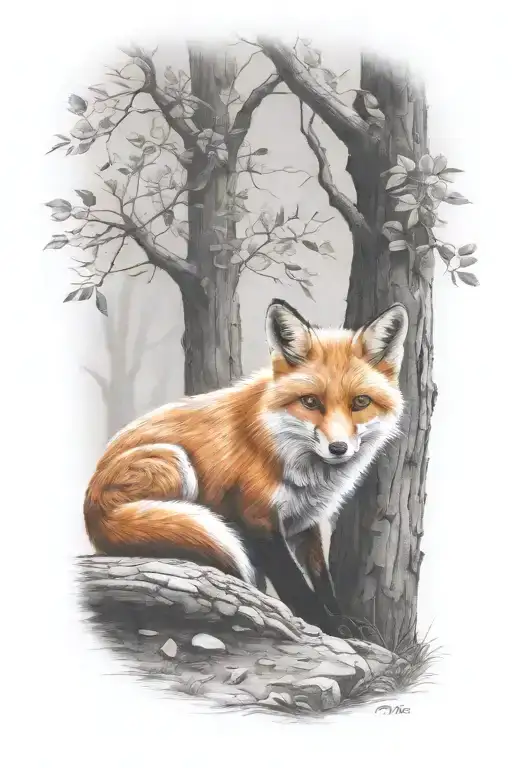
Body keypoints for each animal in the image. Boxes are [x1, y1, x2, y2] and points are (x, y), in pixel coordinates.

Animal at [84, 298, 408, 636]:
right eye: (310, 402)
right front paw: (325, 625)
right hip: (176, 463)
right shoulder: (257, 518)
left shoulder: (304, 522)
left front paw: (344, 622)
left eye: (360, 402)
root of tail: (92, 510)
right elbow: (295, 585)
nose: (338, 448)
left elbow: (321, 579)